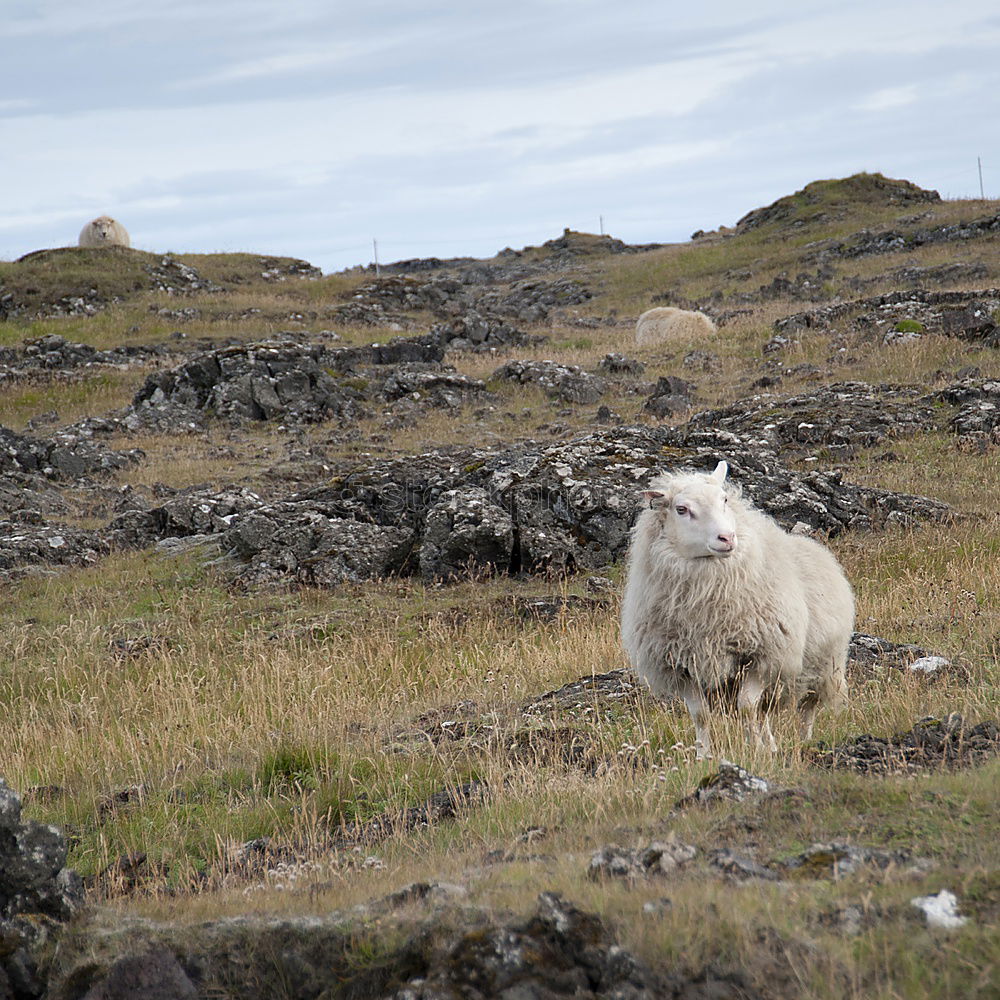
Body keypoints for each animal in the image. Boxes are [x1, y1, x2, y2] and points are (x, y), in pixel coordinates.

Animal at [620, 462, 856, 756]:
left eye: (724, 500)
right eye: (681, 509)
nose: (727, 537)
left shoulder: (761, 655)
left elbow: (746, 709)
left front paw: (753, 751)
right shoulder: (681, 665)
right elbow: (701, 715)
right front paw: (703, 755)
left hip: (823, 665)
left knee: (806, 709)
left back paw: (804, 743)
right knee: (764, 713)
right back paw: (771, 746)